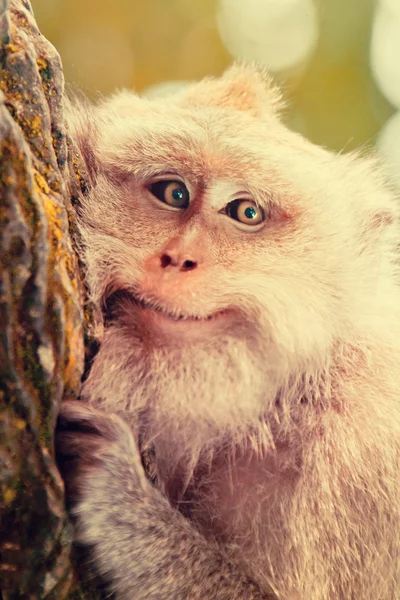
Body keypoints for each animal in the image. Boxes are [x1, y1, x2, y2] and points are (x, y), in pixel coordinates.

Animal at [55, 63, 400, 596]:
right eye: (173, 193)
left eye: (246, 212)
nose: (177, 259)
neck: (266, 411)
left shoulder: (360, 458)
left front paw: (116, 489)